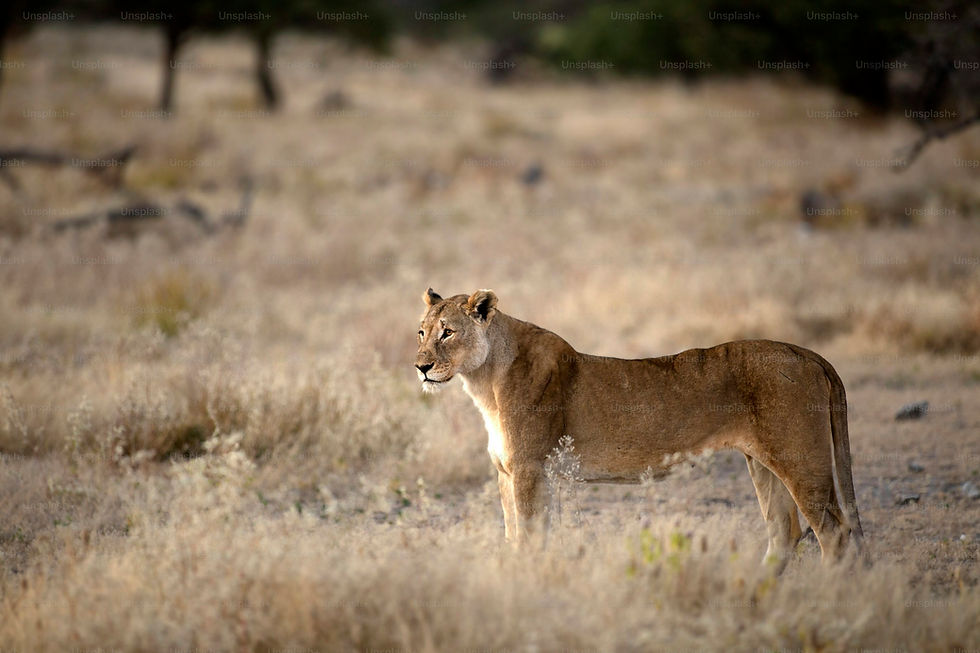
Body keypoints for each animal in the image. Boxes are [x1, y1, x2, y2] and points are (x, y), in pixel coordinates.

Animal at [416, 288, 864, 566]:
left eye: (448, 332)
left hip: (800, 461)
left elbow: (528, 538)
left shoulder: (529, 470)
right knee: (784, 532)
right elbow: (514, 536)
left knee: (834, 533)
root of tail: (808, 354)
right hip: (762, 462)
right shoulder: (508, 472)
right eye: (421, 332)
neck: (484, 382)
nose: (420, 367)